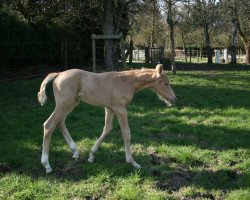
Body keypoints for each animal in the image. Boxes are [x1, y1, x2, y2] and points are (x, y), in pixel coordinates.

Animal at [38, 64, 177, 173]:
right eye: (165, 83)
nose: (173, 99)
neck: (126, 82)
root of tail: (58, 74)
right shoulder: (120, 109)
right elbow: (126, 133)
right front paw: (132, 162)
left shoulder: (109, 108)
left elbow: (107, 129)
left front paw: (91, 155)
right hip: (64, 103)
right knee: (49, 124)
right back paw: (46, 165)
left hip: (72, 103)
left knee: (60, 121)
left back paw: (75, 151)